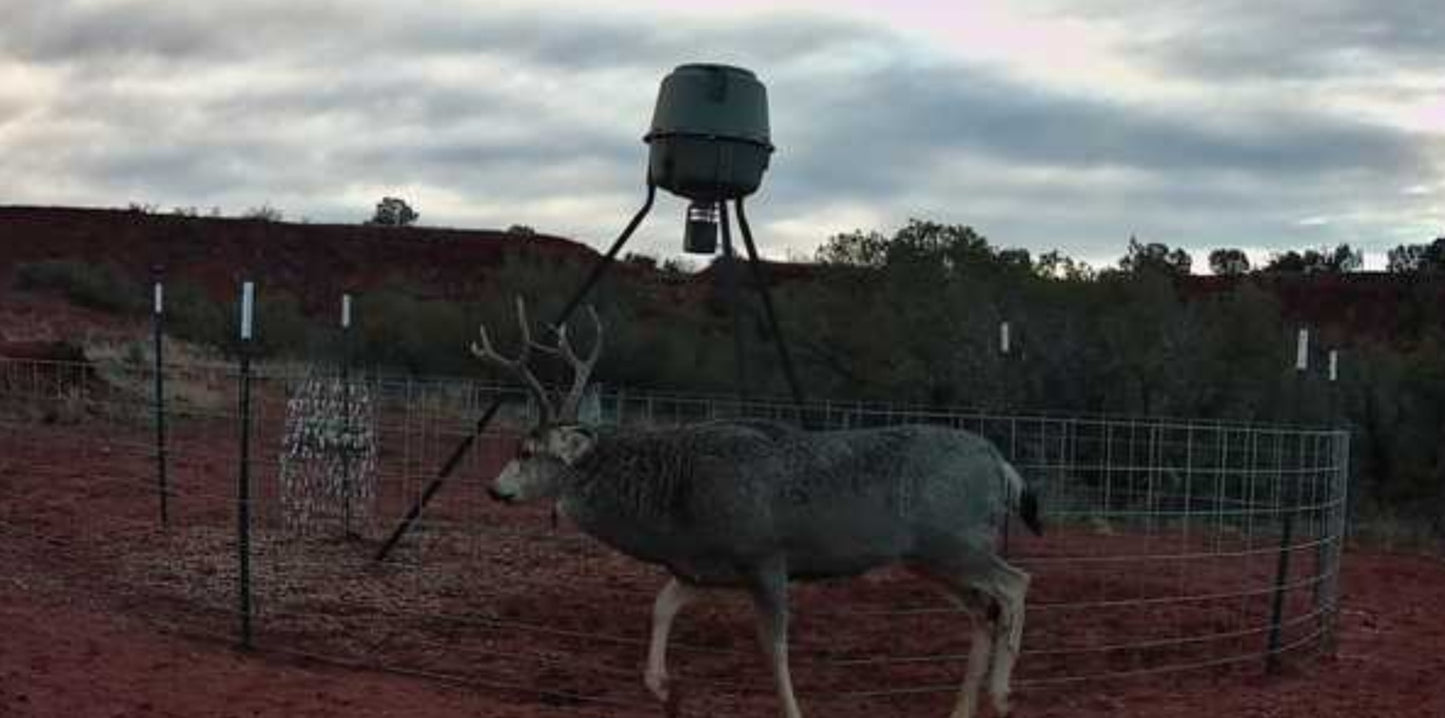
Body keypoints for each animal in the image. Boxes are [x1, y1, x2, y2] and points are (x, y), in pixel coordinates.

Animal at [473, 296, 1040, 716]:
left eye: (526, 451)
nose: (494, 490)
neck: (675, 504)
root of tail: (1001, 464)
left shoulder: (764, 554)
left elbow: (774, 648)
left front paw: (792, 711)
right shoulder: (703, 566)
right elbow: (661, 606)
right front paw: (662, 688)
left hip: (953, 539)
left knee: (1015, 583)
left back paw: (1001, 695)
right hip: (929, 557)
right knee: (983, 609)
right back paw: (964, 707)